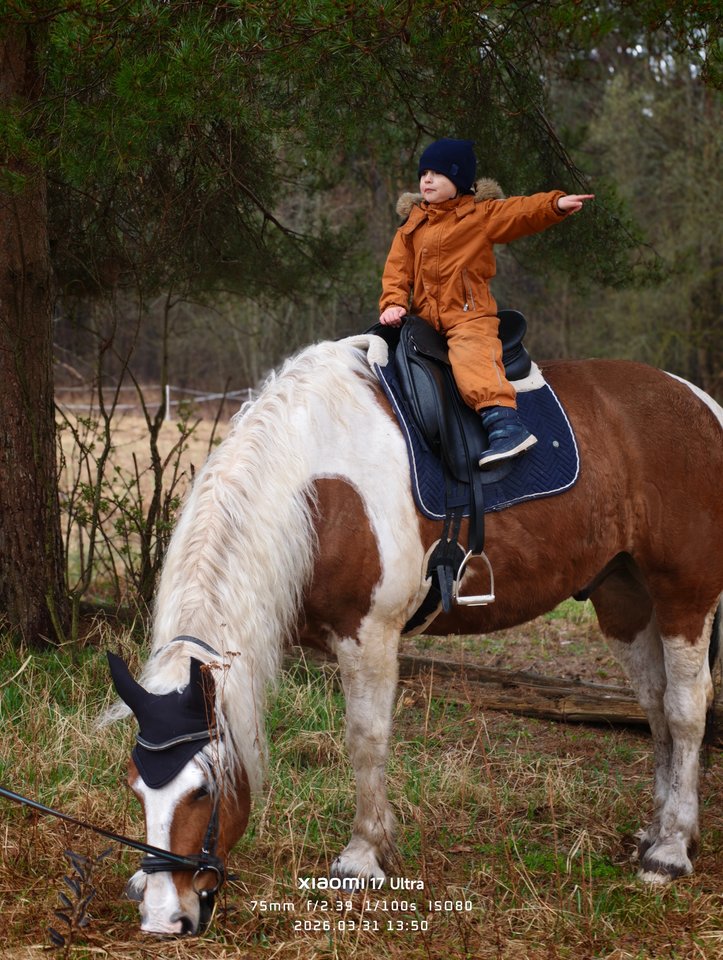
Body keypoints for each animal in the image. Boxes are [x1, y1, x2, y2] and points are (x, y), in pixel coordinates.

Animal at [106, 333, 723, 936]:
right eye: (136, 787)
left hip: (684, 595)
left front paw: (362, 856)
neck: (317, 487)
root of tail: (701, 404)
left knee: (686, 709)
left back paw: (670, 851)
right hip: (624, 598)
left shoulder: (369, 635)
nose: (164, 917)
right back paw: (659, 830)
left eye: (203, 791)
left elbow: (366, 740)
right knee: (656, 707)